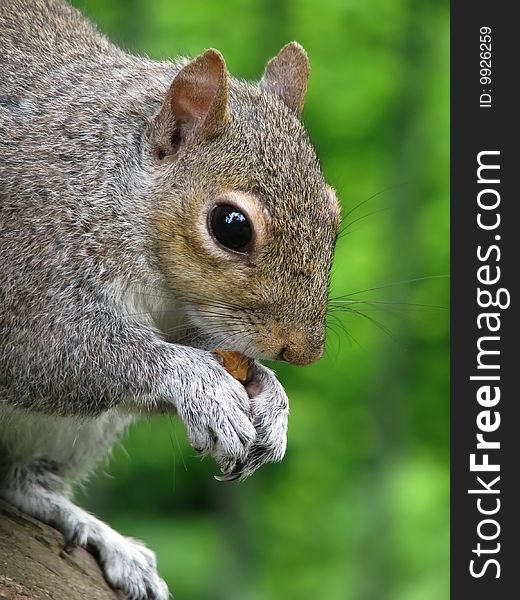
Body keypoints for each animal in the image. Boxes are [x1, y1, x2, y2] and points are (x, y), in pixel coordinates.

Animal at [0, 1, 340, 600]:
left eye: (334, 214)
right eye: (231, 226)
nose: (302, 352)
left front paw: (271, 398)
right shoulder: (28, 255)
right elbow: (45, 350)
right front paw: (197, 381)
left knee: (17, 483)